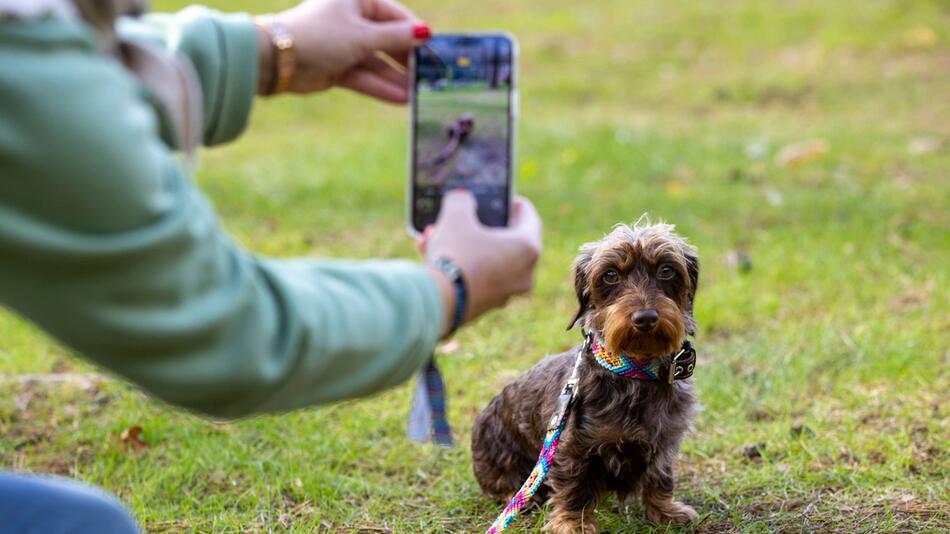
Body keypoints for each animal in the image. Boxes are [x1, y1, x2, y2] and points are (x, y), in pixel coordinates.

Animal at [474, 222, 704, 534]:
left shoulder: (665, 440)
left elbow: (659, 478)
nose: (645, 318)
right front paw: (574, 524)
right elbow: (575, 487)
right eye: (610, 274)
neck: (633, 371)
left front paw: (665, 511)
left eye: (667, 270)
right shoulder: (573, 446)